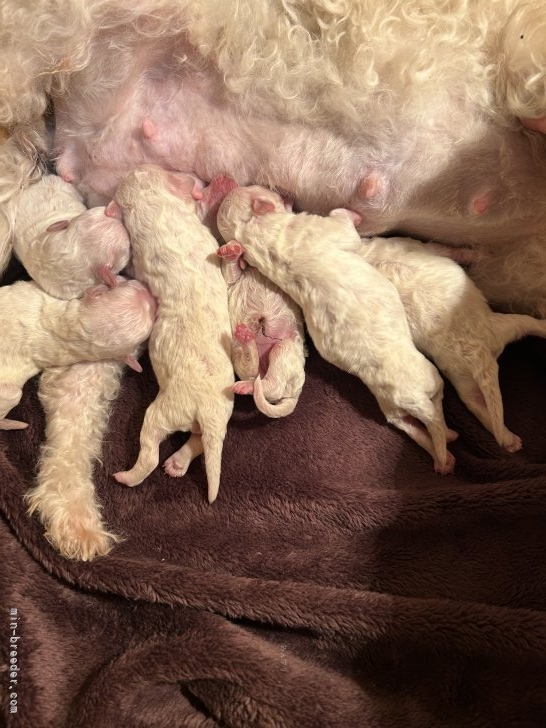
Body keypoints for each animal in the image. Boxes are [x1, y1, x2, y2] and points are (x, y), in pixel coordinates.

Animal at [107, 165, 234, 503]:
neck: (152, 204)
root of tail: (207, 409)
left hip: (163, 412)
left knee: (151, 454)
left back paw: (126, 476)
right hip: (217, 413)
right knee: (201, 440)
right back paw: (177, 462)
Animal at [217, 234, 306, 418]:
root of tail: (294, 394)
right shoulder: (232, 280)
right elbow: (231, 271)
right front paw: (232, 249)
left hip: (284, 348)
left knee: (271, 385)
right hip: (240, 355)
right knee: (253, 373)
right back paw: (246, 340)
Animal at [356, 235, 546, 452]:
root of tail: (476, 351)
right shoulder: (422, 245)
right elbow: (452, 250)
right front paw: (478, 252)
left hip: (461, 376)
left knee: (474, 403)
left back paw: (507, 439)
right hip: (503, 325)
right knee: (531, 324)